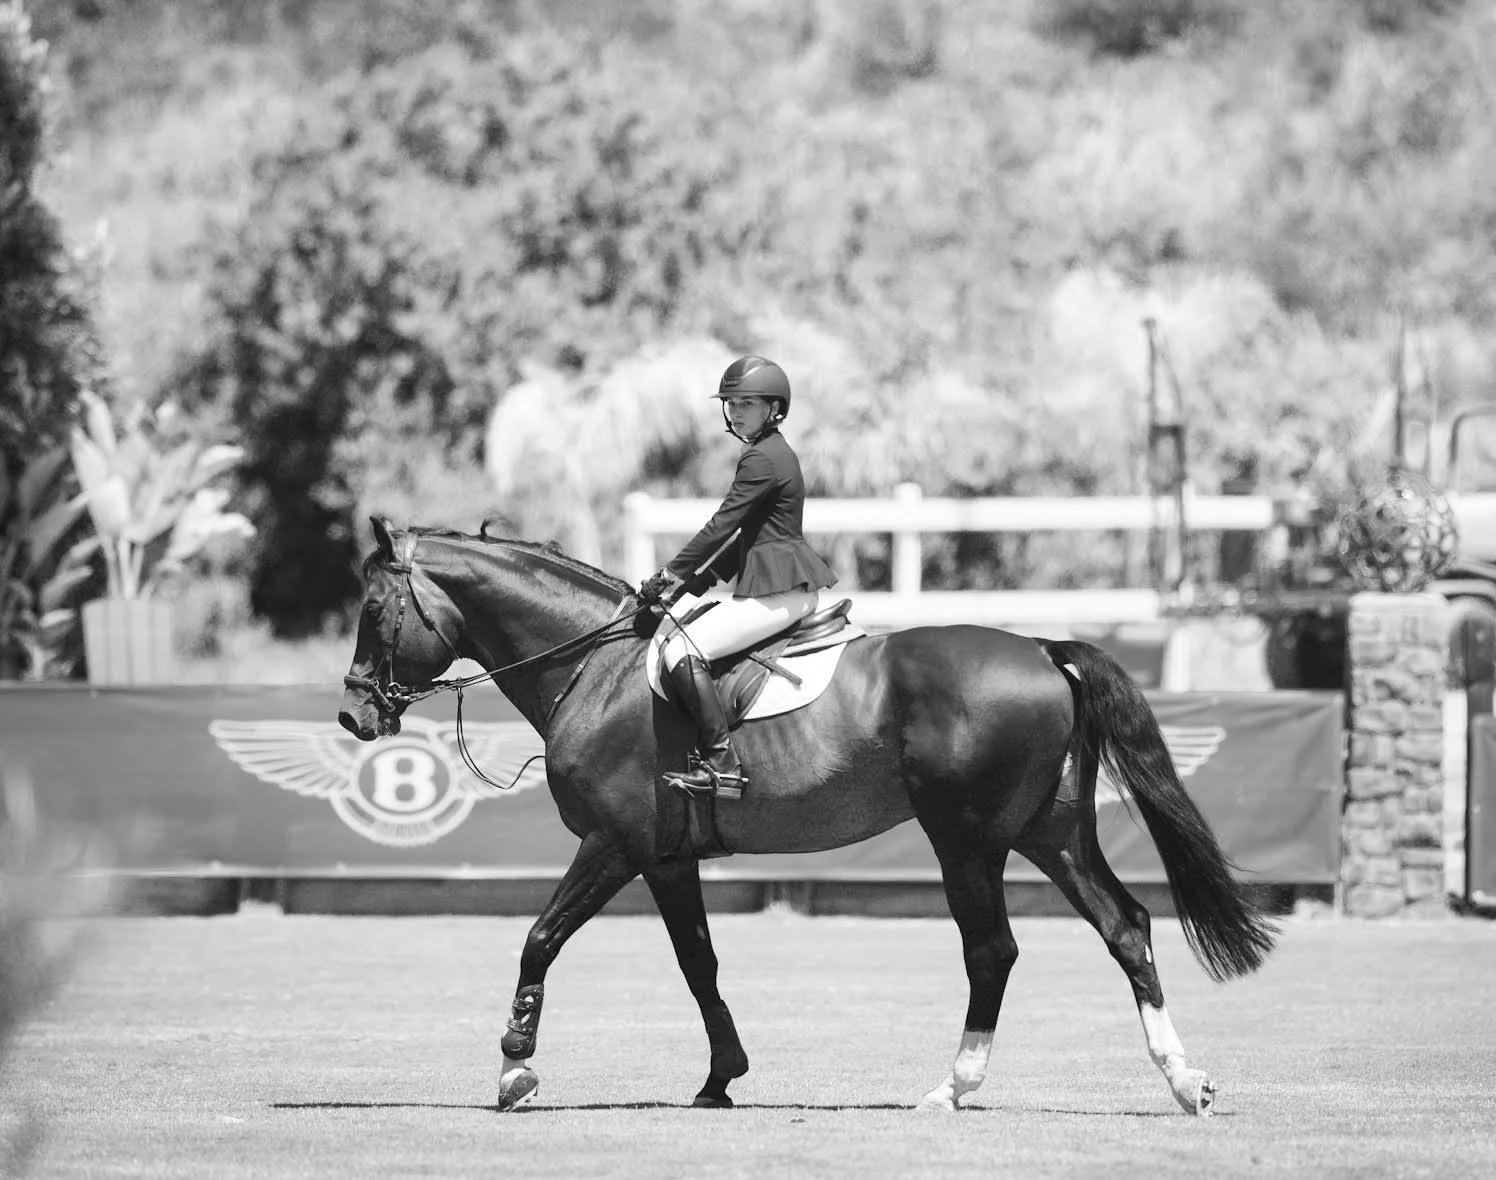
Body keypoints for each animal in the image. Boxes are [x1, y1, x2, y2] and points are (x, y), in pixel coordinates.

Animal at [338, 517, 1277, 1116]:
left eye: (375, 610)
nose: (352, 716)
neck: (595, 669)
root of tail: (1044, 651)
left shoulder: (613, 844)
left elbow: (539, 938)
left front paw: (515, 1069)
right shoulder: (666, 857)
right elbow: (699, 963)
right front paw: (721, 1077)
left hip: (967, 839)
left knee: (993, 950)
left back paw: (953, 1087)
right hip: (1050, 832)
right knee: (1126, 927)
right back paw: (1183, 1080)